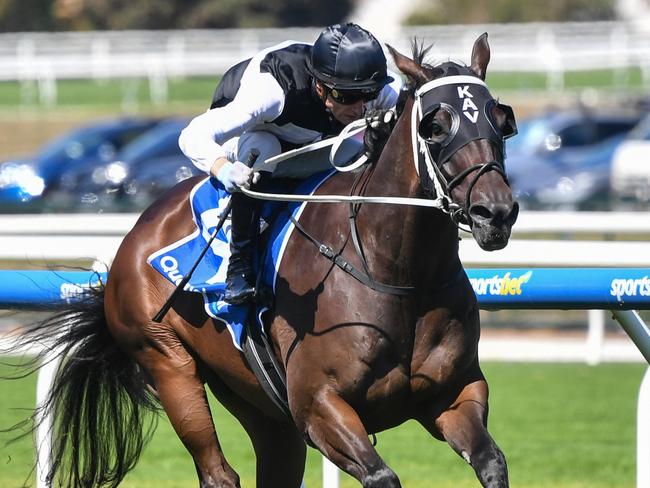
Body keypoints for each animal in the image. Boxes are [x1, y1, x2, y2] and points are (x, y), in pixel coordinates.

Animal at [15, 34, 516, 488]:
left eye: (500, 119)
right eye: (436, 126)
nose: (495, 212)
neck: (397, 271)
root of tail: (138, 233)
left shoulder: (454, 395)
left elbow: (491, 462)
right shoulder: (319, 407)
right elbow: (381, 475)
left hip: (258, 403)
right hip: (167, 362)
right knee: (217, 472)